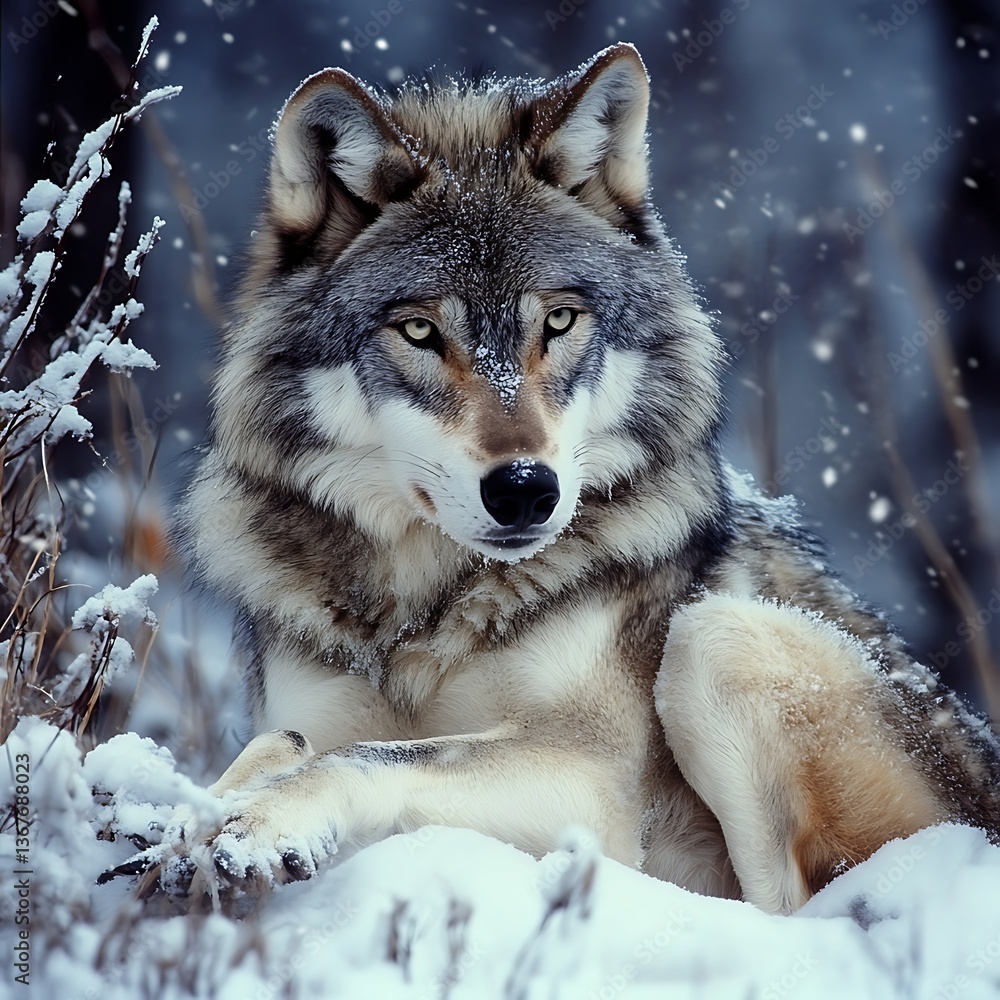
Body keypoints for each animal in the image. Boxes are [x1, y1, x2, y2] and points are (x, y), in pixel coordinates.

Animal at [129, 43, 999, 915]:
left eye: (557, 321)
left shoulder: (590, 775)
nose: (524, 488)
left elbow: (376, 755)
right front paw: (187, 827)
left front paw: (260, 822)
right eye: (420, 331)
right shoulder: (311, 708)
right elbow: (288, 740)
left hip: (716, 636)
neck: (423, 613)